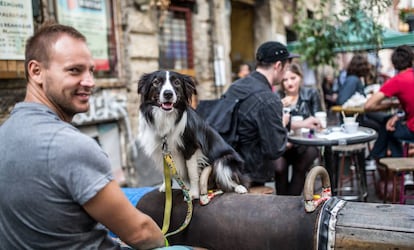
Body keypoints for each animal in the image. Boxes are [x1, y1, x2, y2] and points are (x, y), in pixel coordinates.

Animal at [138, 70, 249, 199]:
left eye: (177, 82)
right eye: (156, 82)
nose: (168, 94)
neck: (166, 117)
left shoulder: (190, 147)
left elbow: (192, 174)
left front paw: (193, 193)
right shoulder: (162, 150)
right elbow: (165, 172)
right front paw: (165, 187)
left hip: (223, 161)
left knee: (236, 178)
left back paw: (240, 187)